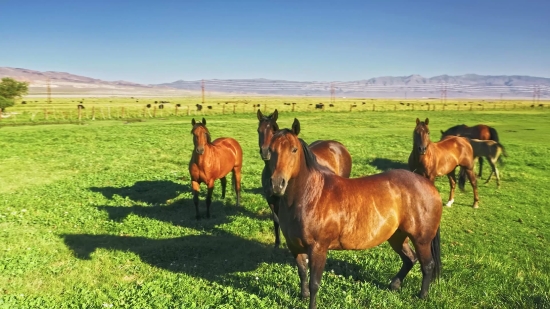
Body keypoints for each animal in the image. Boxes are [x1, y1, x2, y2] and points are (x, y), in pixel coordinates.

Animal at [258, 109, 354, 247]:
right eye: (258, 130)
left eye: (272, 131)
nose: (265, 152)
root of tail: (339, 146)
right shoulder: (270, 199)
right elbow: (276, 220)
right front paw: (277, 243)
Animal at [270, 120, 446, 308]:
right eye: (271, 150)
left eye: (294, 149)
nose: (277, 184)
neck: (311, 195)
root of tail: (429, 185)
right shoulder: (294, 246)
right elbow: (302, 273)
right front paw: (303, 297)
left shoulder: (318, 248)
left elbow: (314, 283)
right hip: (397, 236)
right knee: (410, 259)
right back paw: (394, 285)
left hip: (421, 240)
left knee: (427, 265)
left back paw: (422, 296)